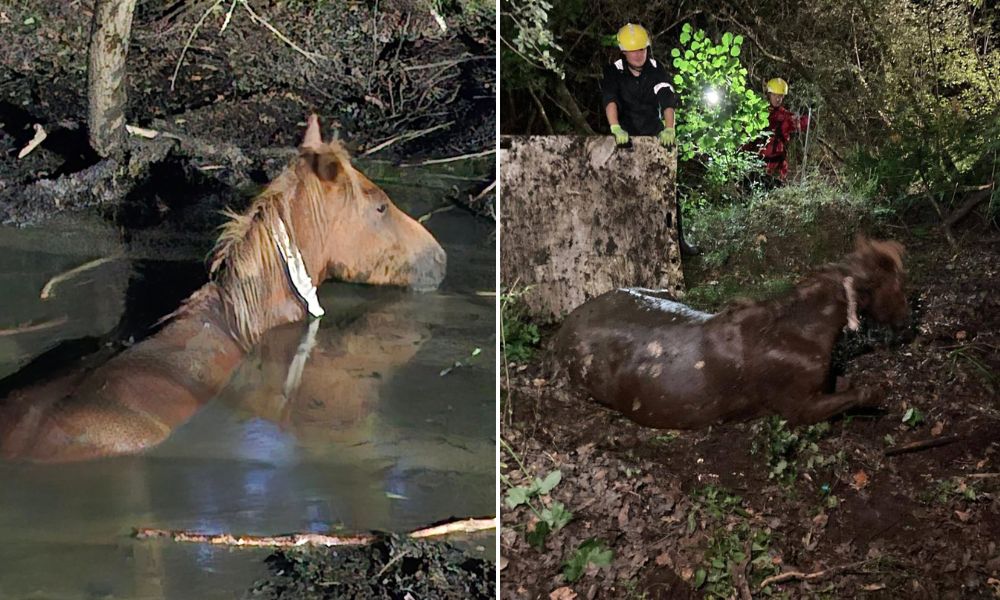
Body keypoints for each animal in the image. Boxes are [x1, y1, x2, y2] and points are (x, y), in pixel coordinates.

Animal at [554, 236, 909, 429]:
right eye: (895, 285)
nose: (907, 324)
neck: (798, 330)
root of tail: (567, 325)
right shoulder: (798, 408)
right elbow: (865, 393)